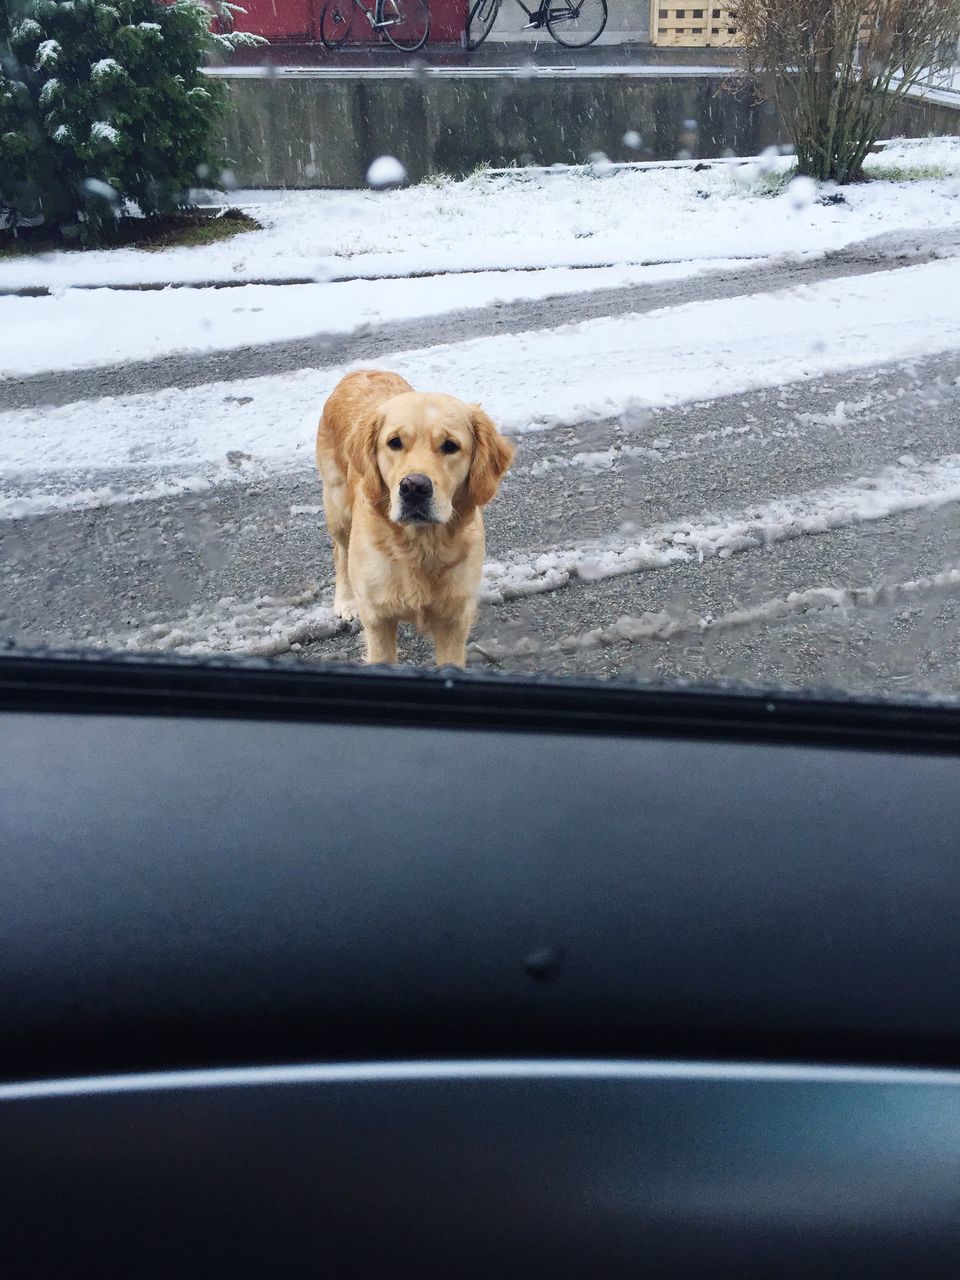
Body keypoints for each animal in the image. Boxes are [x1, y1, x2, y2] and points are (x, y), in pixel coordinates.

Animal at [316, 368, 514, 665]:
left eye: (450, 446)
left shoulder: (455, 620)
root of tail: (360, 371)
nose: (414, 487)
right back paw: (345, 603)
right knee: (340, 552)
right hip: (338, 508)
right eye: (394, 442)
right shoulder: (378, 620)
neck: (419, 547)